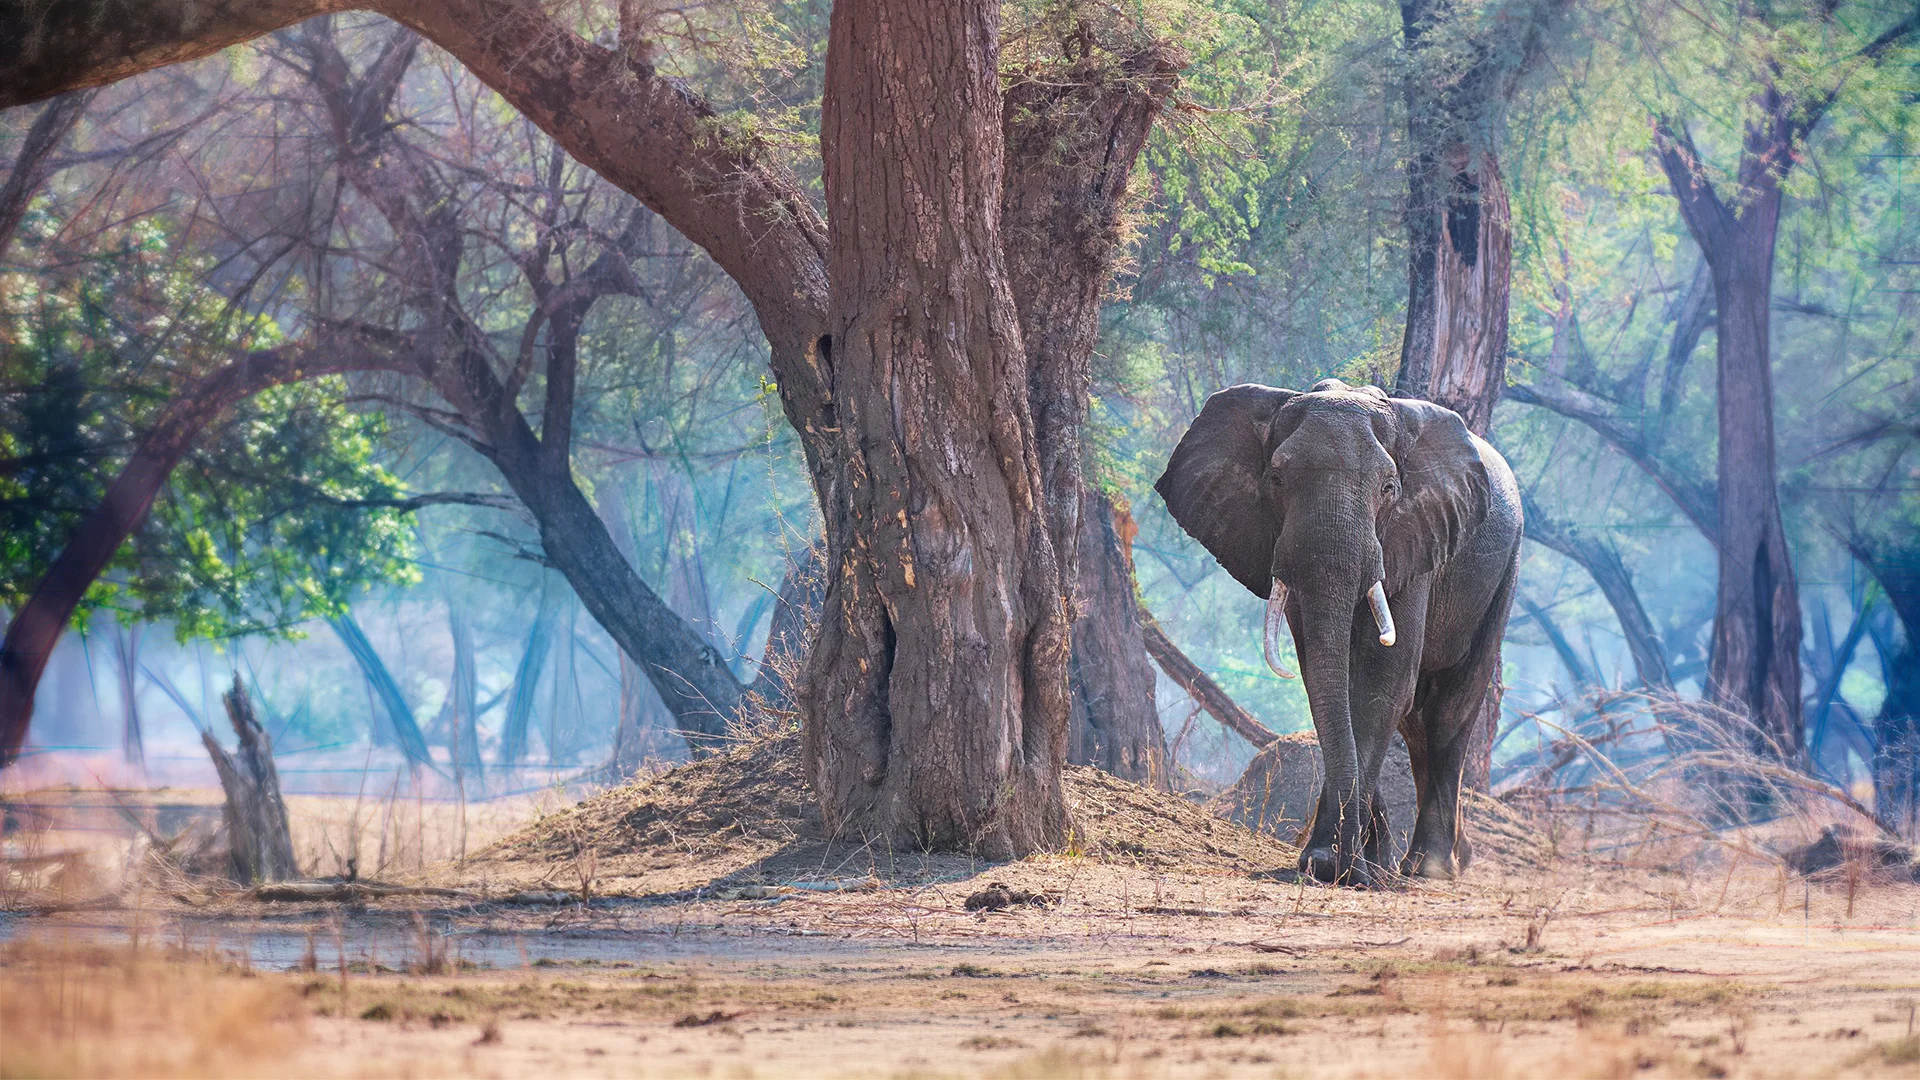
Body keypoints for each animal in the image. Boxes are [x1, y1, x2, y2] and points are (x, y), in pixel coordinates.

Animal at [1155, 378, 1521, 886]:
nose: (1340, 863)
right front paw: (1342, 863)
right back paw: (1422, 861)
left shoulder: (1416, 538)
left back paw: (1429, 869)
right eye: (1276, 479)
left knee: (1450, 710)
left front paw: (1338, 866)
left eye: (1389, 487)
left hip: (1504, 572)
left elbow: (1381, 683)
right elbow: (1328, 683)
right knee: (1416, 722)